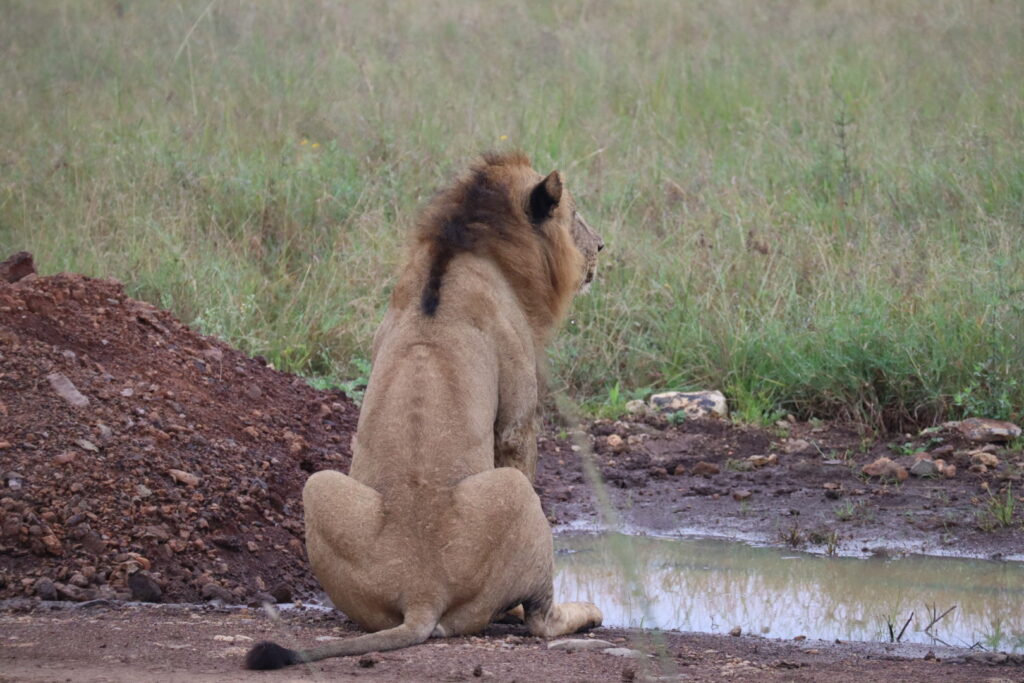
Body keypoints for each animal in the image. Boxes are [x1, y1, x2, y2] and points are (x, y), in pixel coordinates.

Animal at [244, 152, 602, 671]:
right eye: (574, 214)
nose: (601, 246)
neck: (460, 247)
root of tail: (421, 591)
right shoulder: (518, 410)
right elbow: (518, 442)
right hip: (514, 496)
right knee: (540, 620)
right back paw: (582, 612)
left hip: (318, 486)